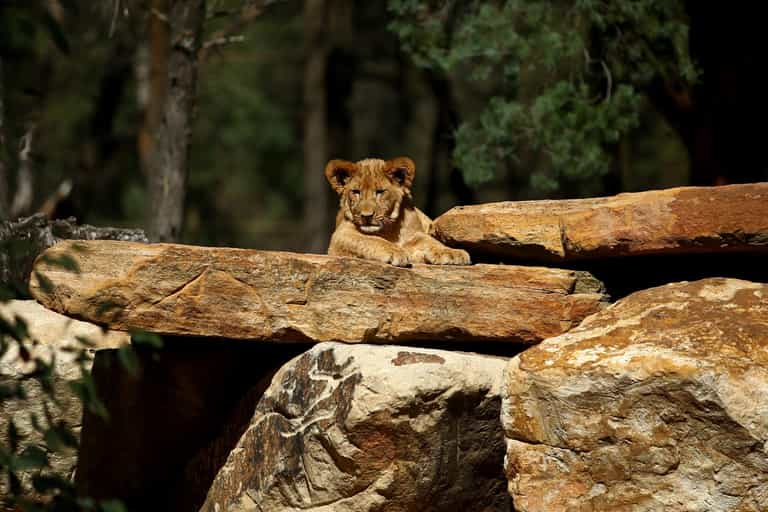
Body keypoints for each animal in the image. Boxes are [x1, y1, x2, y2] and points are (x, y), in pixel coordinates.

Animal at [325, 157, 471, 267]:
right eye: (356, 192)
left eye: (380, 192)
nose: (366, 216)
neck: (388, 230)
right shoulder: (340, 235)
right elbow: (371, 240)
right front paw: (396, 252)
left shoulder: (414, 235)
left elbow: (429, 240)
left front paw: (452, 253)